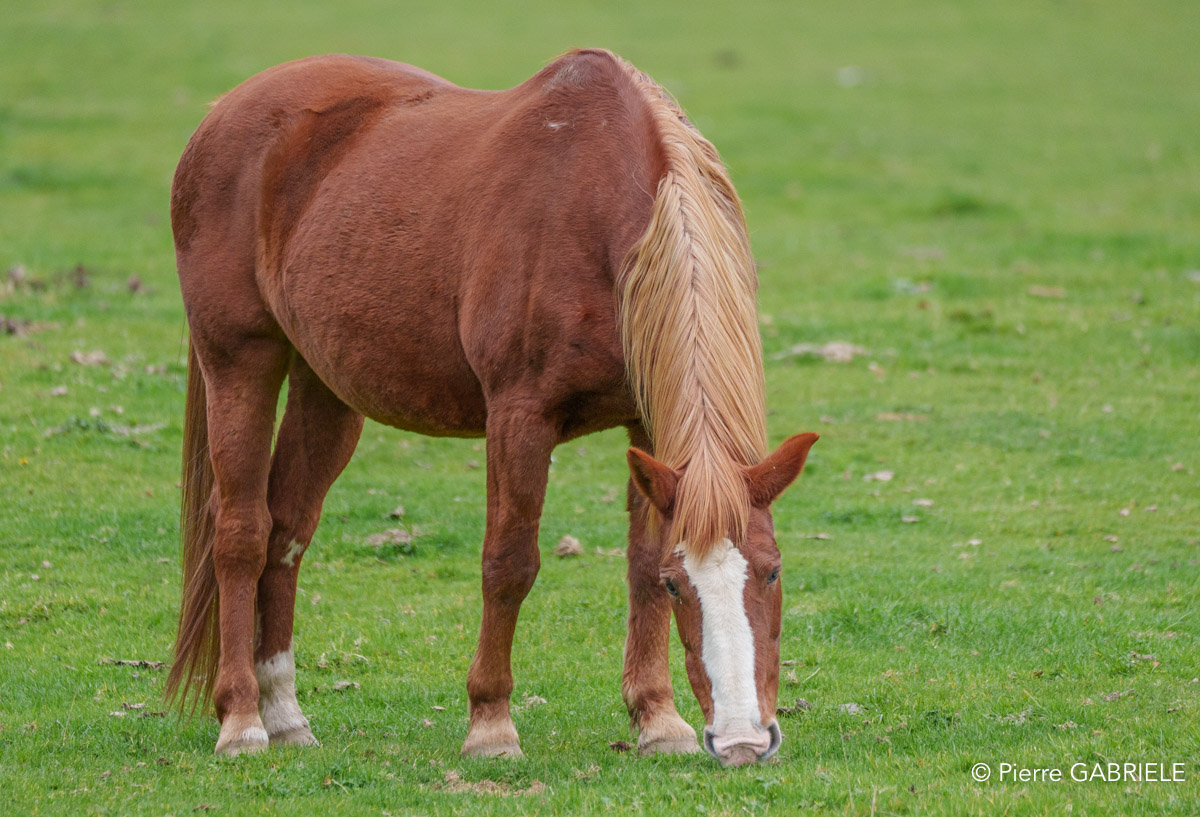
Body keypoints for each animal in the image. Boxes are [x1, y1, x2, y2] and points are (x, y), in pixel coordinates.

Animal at [166, 48, 818, 768]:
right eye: (685, 586)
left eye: (773, 571)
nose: (742, 742)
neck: (598, 215)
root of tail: (223, 112)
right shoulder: (519, 416)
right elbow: (509, 563)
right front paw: (491, 725)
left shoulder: (648, 429)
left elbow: (639, 563)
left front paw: (658, 720)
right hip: (238, 359)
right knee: (242, 533)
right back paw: (243, 719)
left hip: (326, 388)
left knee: (288, 531)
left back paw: (285, 713)